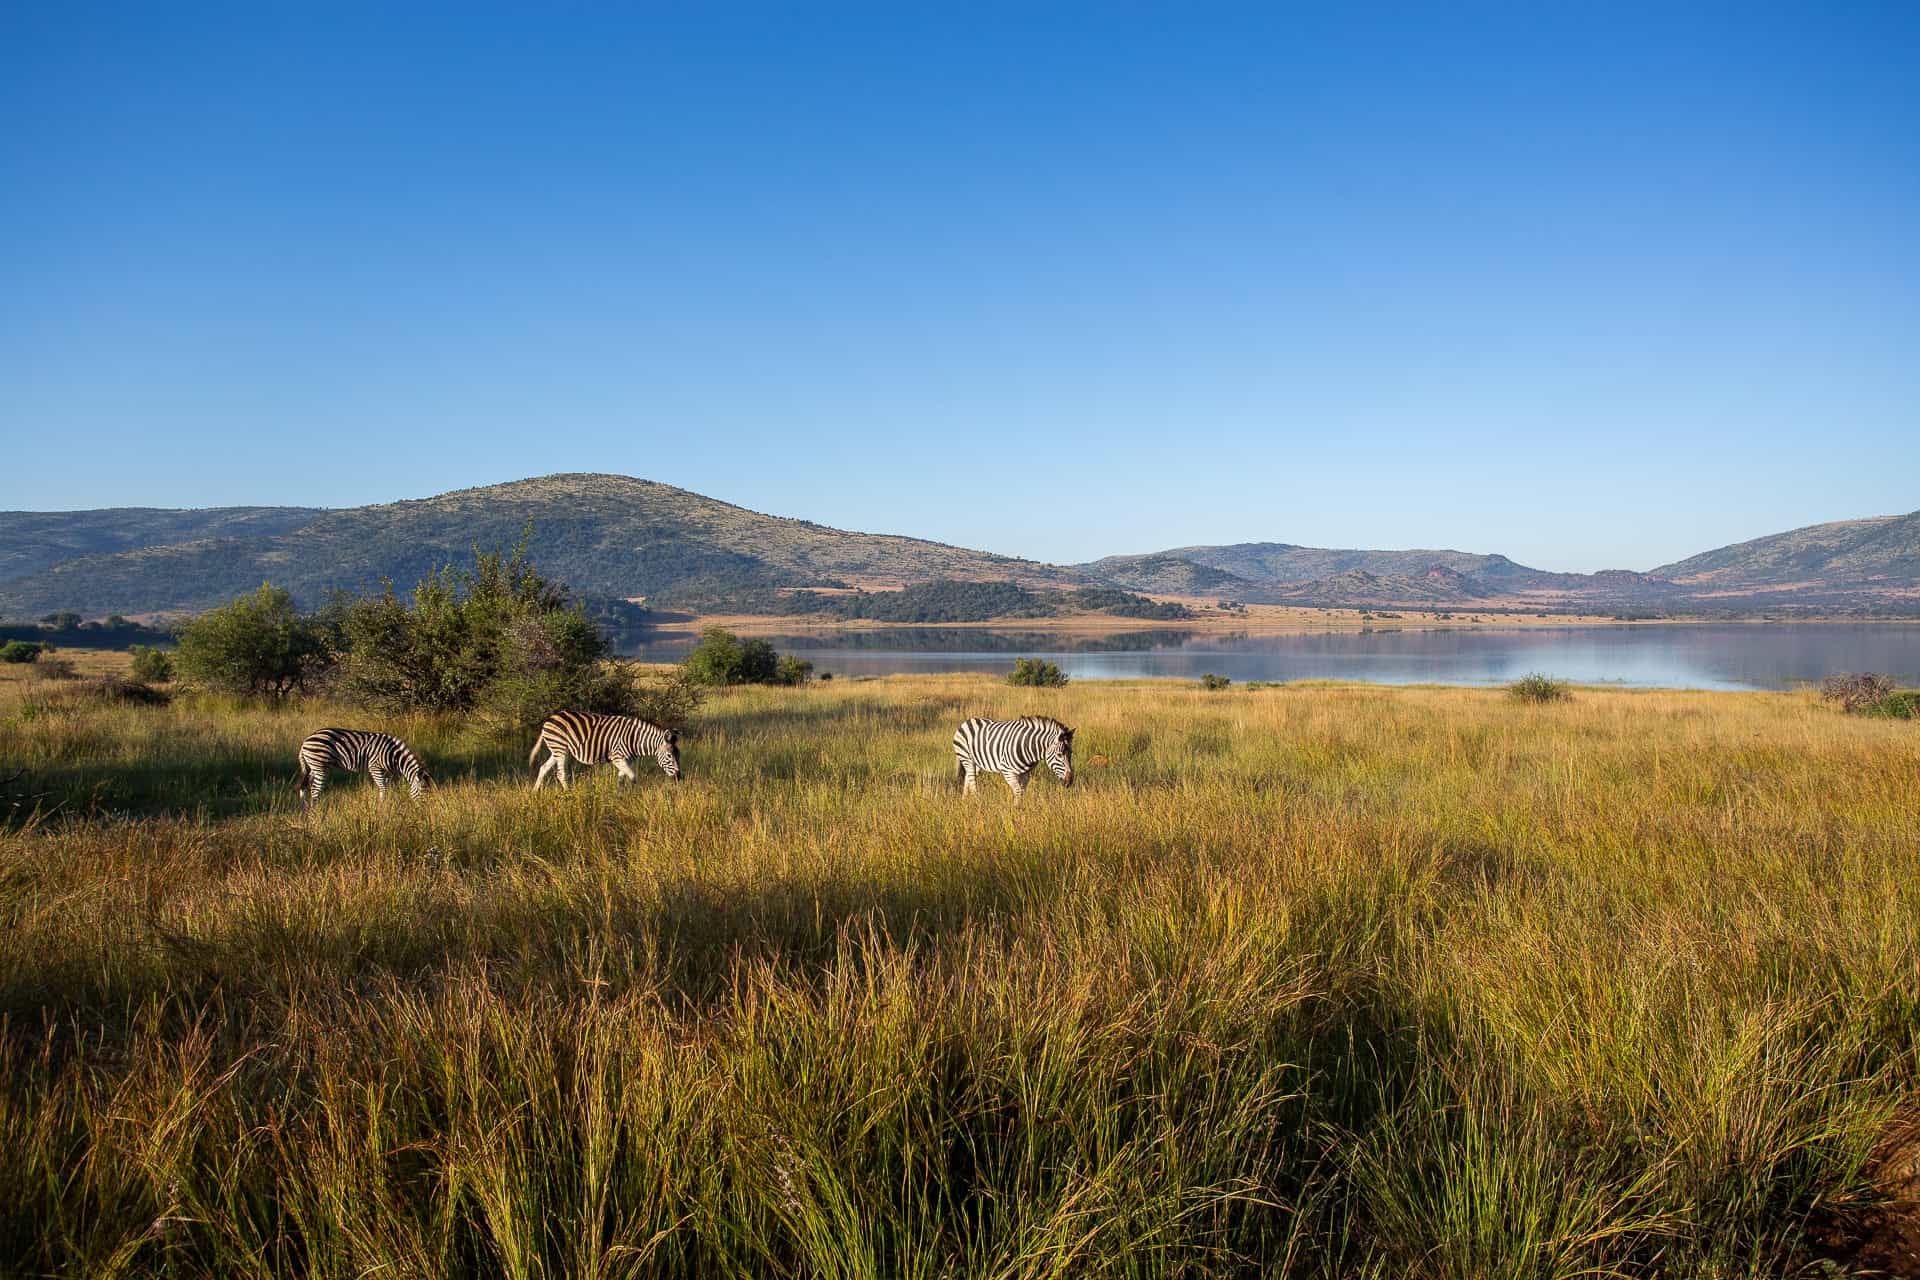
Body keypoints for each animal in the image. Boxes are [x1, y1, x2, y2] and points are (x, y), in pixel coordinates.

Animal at [296, 728, 431, 809]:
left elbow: (386, 788)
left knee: (304, 786)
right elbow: (383, 788)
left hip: (313, 767)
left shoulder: (386, 772)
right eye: (422, 792)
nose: (424, 812)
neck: (394, 755)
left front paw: (384, 805)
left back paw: (305, 809)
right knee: (315, 790)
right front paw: (382, 807)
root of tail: (305, 742)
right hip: (320, 767)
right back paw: (316, 811)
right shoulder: (375, 767)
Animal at [530, 711, 681, 788]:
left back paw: (535, 792)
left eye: (679, 755)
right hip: (560, 749)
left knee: (543, 768)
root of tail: (550, 719)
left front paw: (620, 798)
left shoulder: (627, 761)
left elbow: (621, 779)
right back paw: (569, 794)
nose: (678, 778)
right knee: (561, 774)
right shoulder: (617, 757)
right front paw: (636, 795)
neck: (635, 739)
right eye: (669, 755)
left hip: (558, 750)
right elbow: (633, 777)